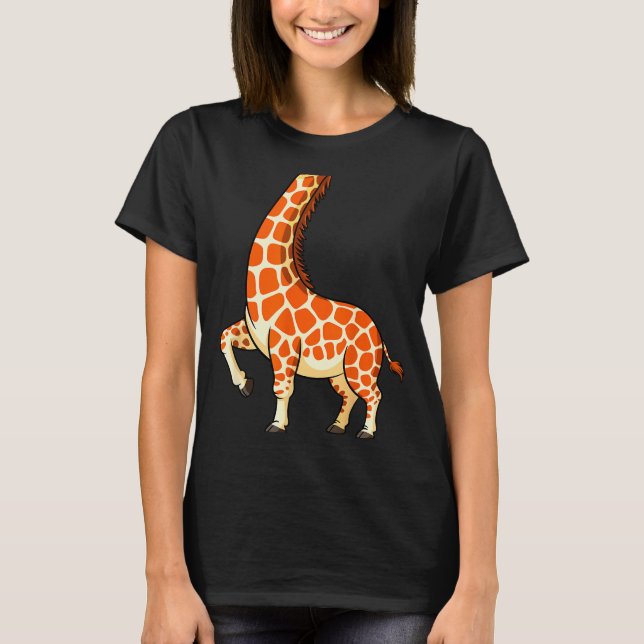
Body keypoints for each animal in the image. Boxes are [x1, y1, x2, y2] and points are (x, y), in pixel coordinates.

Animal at [220, 174, 404, 439]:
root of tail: (378, 334)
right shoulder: (255, 336)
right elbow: (224, 337)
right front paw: (245, 384)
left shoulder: (284, 344)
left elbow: (282, 387)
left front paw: (277, 424)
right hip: (339, 372)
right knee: (350, 395)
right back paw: (337, 426)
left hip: (360, 366)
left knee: (374, 394)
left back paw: (366, 431)